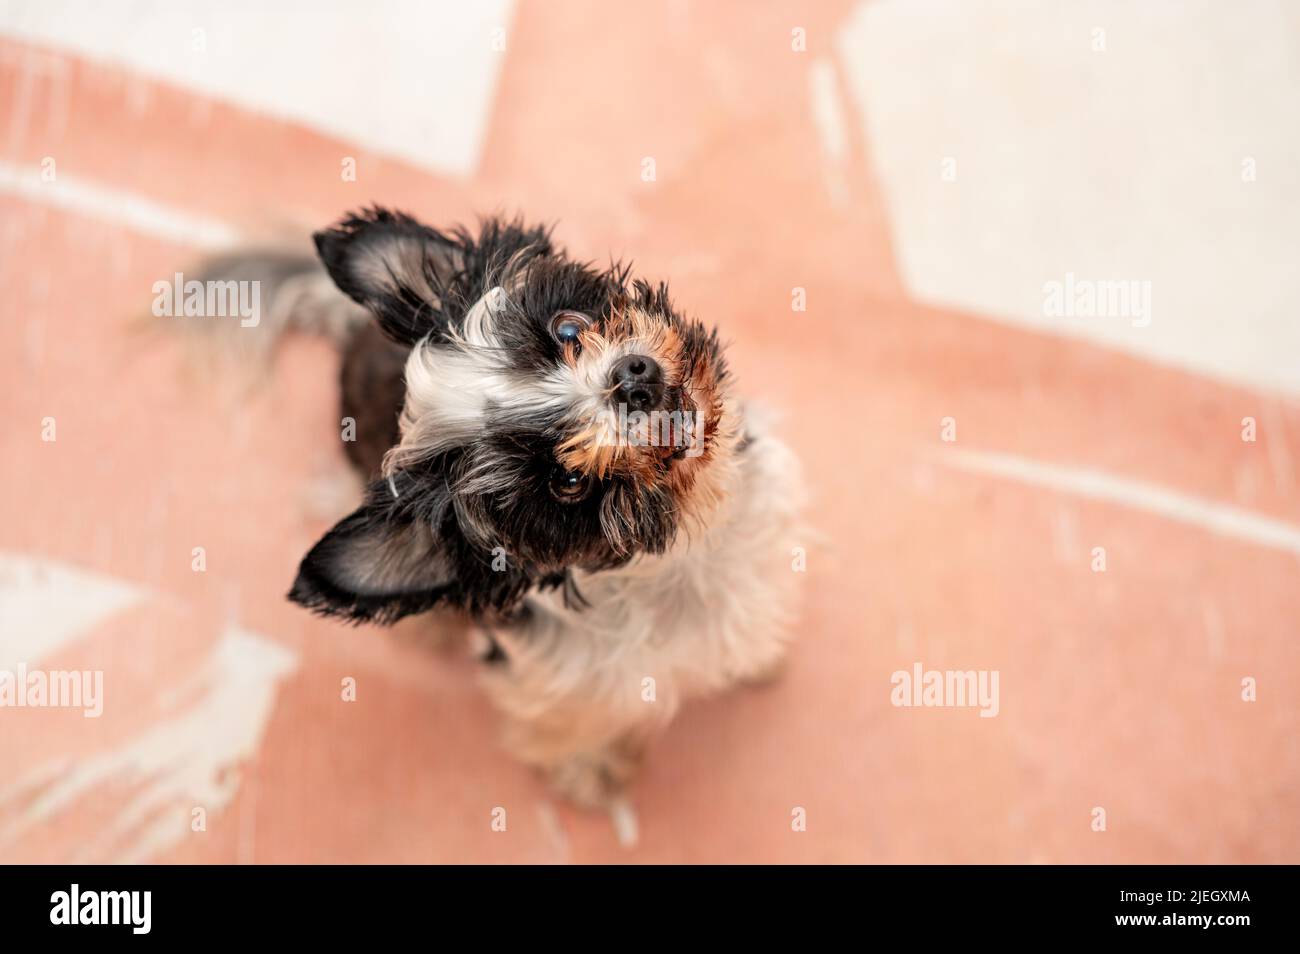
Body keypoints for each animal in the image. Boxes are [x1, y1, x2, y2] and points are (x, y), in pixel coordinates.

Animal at [204, 213, 800, 826]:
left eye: (568, 329)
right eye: (566, 482)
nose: (632, 379)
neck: (684, 555)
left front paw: (758, 661)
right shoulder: (564, 684)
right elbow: (577, 729)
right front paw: (592, 772)